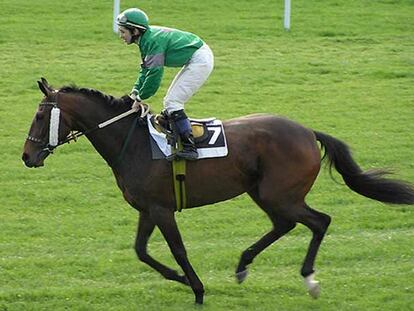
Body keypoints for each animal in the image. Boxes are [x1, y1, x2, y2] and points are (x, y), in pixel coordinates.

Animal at [21, 78, 414, 304]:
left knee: (319, 221)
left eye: (39, 117)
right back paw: (242, 266)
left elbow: (177, 250)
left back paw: (309, 279)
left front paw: (196, 289)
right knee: (286, 225)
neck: (132, 142)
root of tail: (307, 131)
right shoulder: (148, 208)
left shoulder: (162, 209)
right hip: (264, 193)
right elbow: (141, 252)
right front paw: (181, 279)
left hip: (281, 194)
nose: (26, 156)